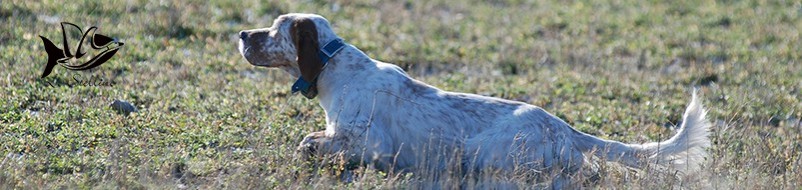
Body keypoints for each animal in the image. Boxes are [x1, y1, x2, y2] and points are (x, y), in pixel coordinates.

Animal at [236, 13, 708, 187]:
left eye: (274, 30)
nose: (241, 34)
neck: (333, 67)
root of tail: (564, 128)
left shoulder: (370, 143)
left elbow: (310, 143)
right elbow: (312, 138)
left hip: (482, 151)